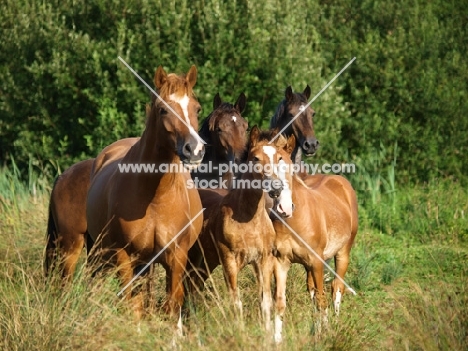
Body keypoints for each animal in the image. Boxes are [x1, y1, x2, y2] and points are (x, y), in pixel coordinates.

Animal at [86, 64, 205, 326]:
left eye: (197, 108)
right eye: (163, 109)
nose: (195, 149)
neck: (155, 198)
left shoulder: (176, 257)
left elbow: (172, 305)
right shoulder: (123, 255)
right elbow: (131, 304)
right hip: (103, 254)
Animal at [186, 127, 292, 332]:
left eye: (279, 158)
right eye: (256, 158)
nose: (276, 188)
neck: (249, 221)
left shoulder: (263, 260)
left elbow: (265, 302)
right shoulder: (229, 261)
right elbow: (236, 302)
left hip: (205, 261)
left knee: (194, 287)